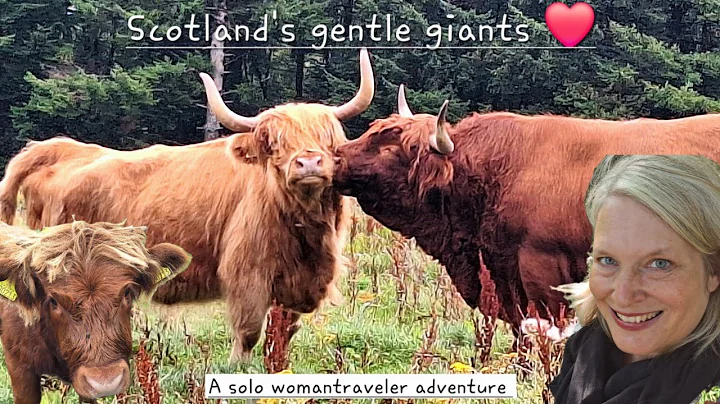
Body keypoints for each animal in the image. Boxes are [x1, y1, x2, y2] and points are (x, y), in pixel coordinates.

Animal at [0, 48, 375, 362]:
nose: (309, 163)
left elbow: (282, 335)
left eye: (328, 137)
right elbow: (248, 334)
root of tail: (59, 148)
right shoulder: (247, 276)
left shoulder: (300, 283)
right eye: (272, 142)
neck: (304, 231)